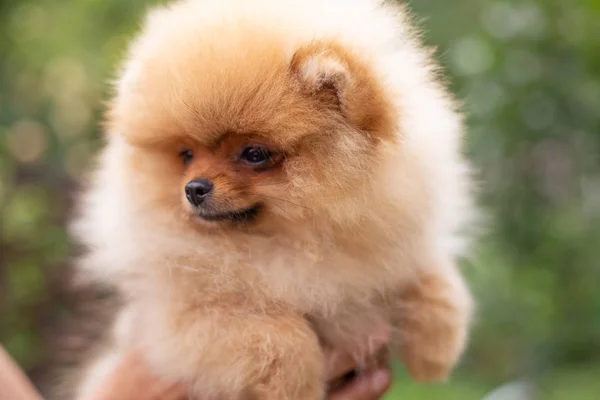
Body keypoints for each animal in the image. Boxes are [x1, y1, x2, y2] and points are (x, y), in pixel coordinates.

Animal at [70, 0, 476, 398]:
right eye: (186, 155)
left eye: (254, 154)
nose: (194, 188)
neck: (288, 243)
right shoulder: (181, 313)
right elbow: (279, 335)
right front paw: (302, 386)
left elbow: (434, 281)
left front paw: (436, 349)